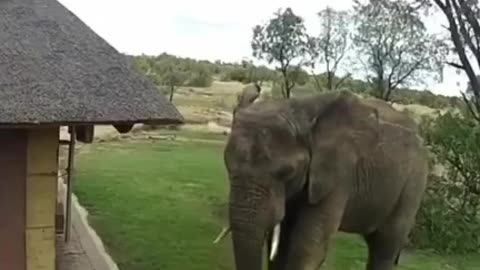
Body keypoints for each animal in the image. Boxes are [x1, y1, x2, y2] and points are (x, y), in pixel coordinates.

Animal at [218, 90, 428, 270]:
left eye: (288, 172)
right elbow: (280, 246)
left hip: (414, 181)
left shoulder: (339, 172)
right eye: (227, 166)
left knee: (385, 245)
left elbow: (307, 249)